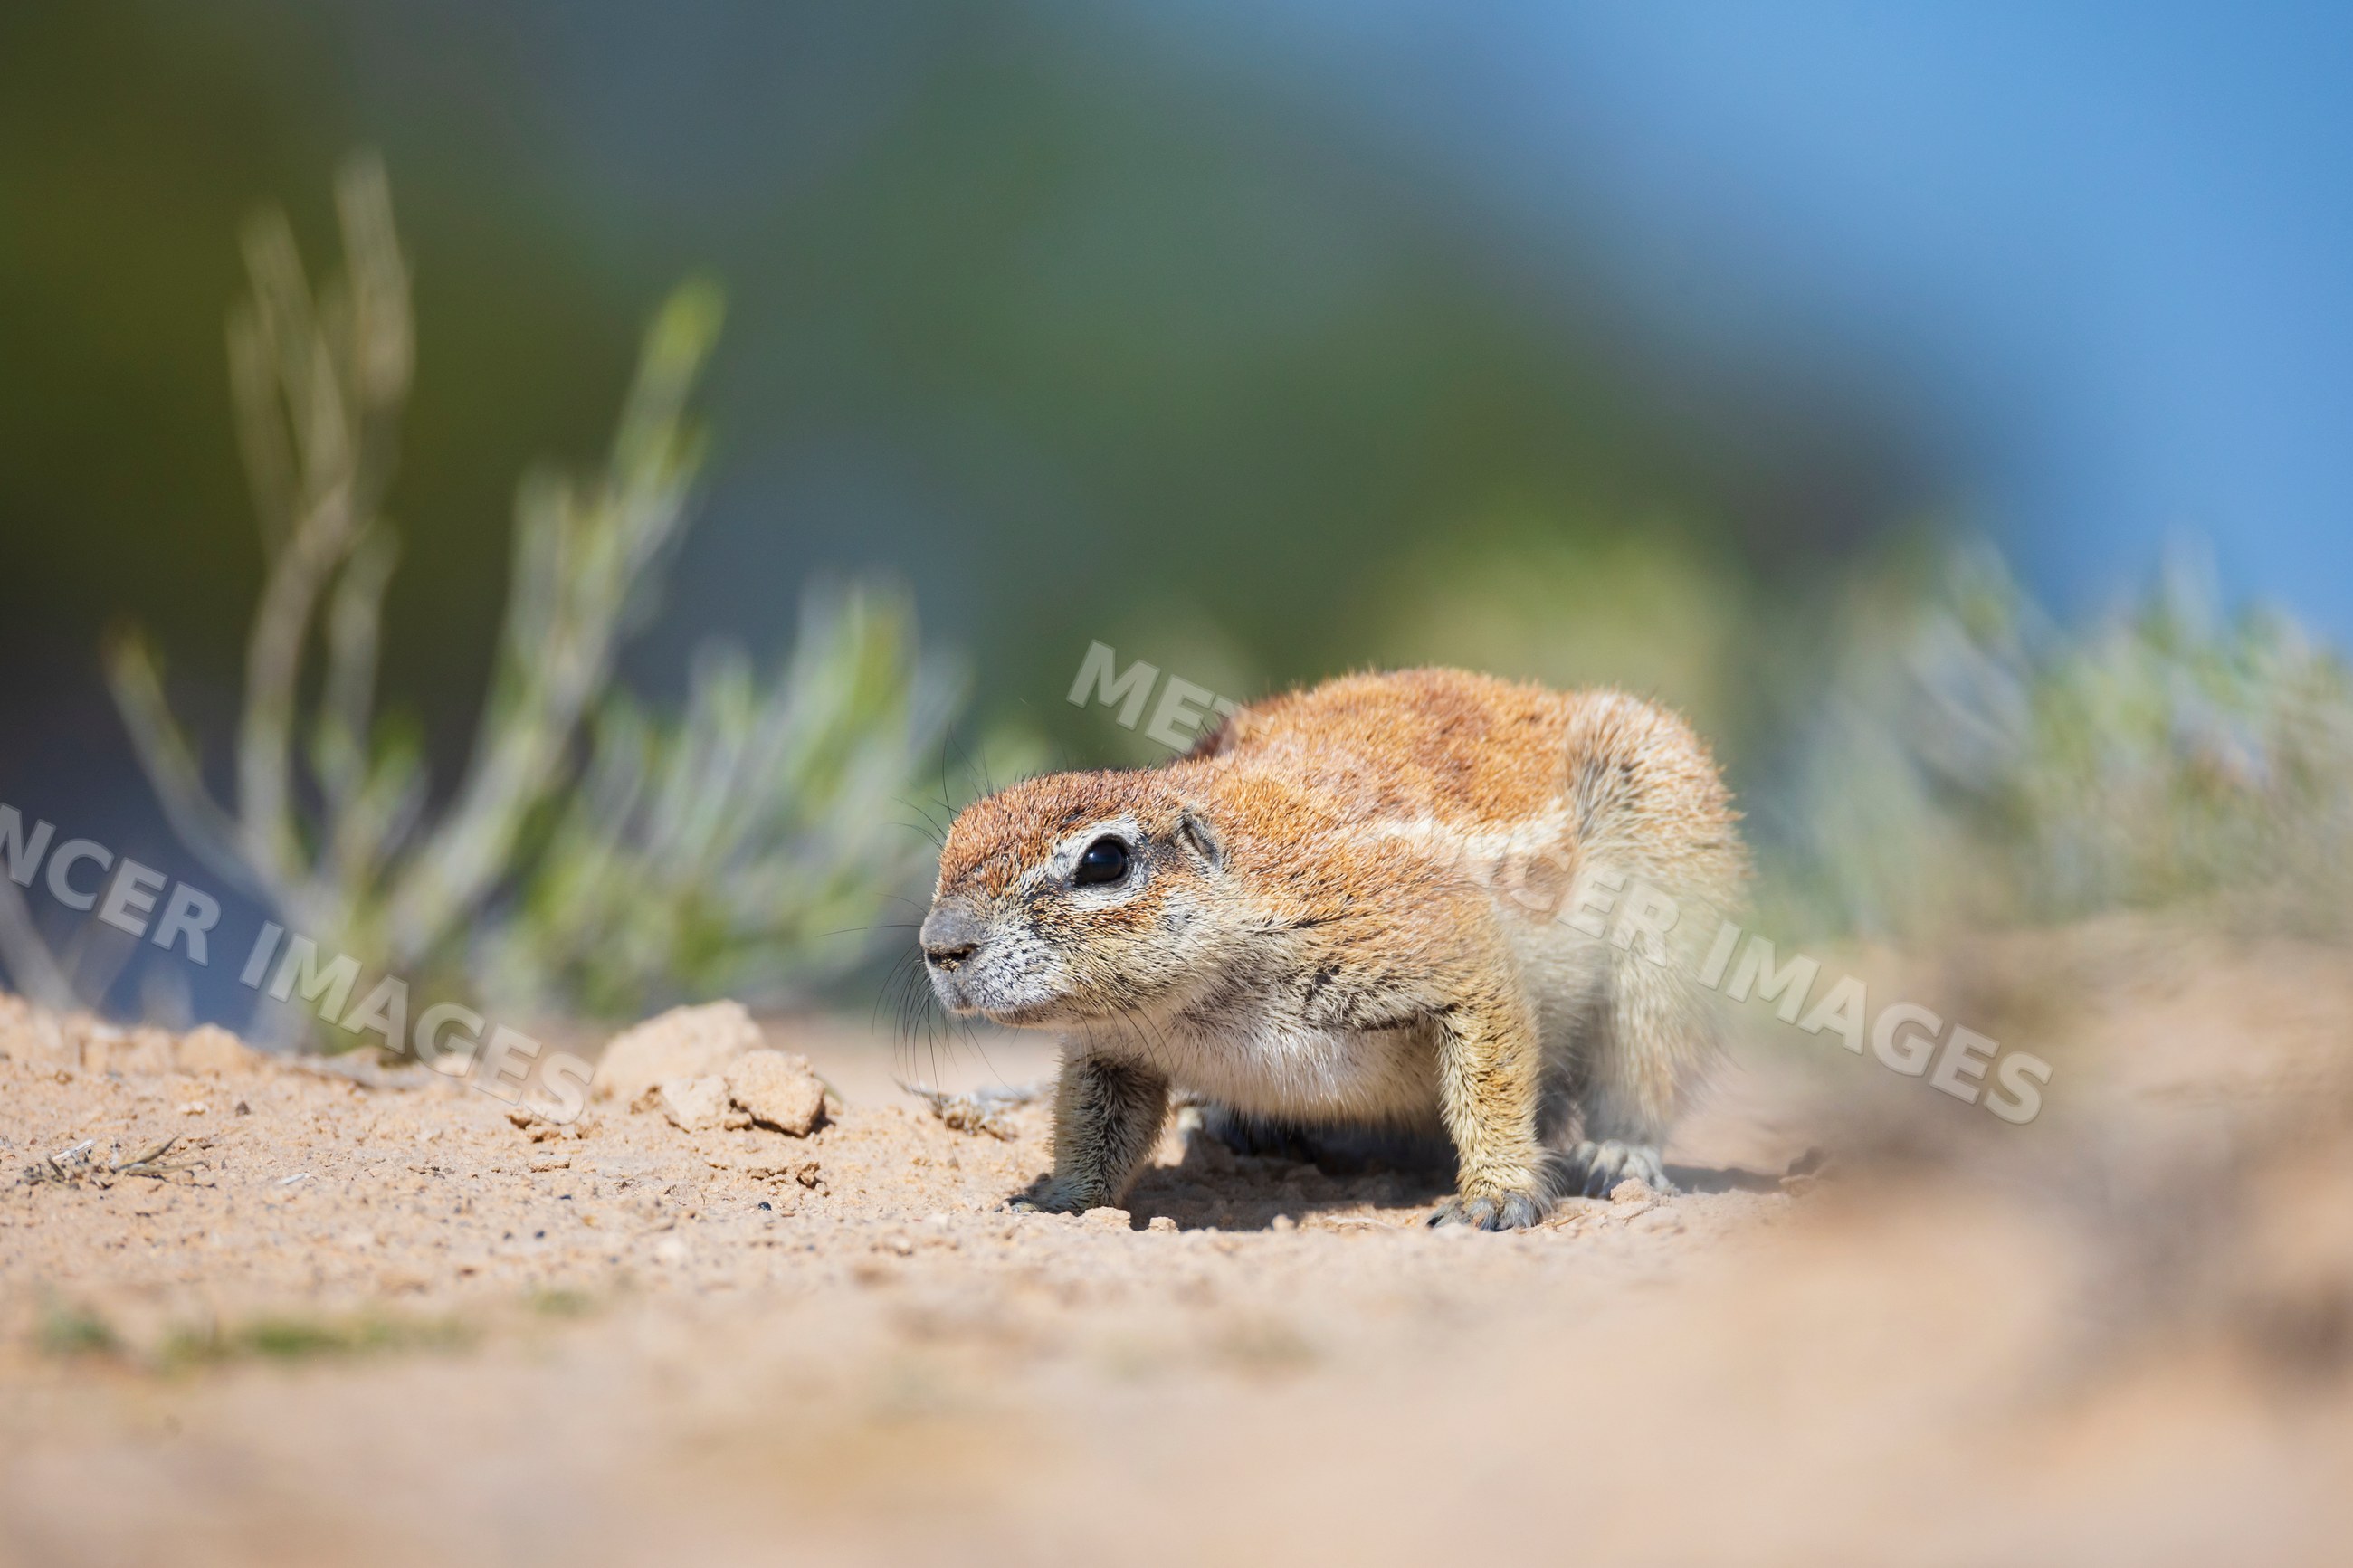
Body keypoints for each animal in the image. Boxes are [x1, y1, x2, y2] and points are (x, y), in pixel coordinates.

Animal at [920, 668, 1747, 1230]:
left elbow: (1494, 1067)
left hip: (1667, 938)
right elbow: (1094, 1126)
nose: (940, 945)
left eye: (1104, 860)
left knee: (1644, 1069)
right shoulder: (1110, 1047)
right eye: (952, 840)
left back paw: (1620, 1151)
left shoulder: (1428, 939)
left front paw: (1497, 1193)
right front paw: (1059, 1198)